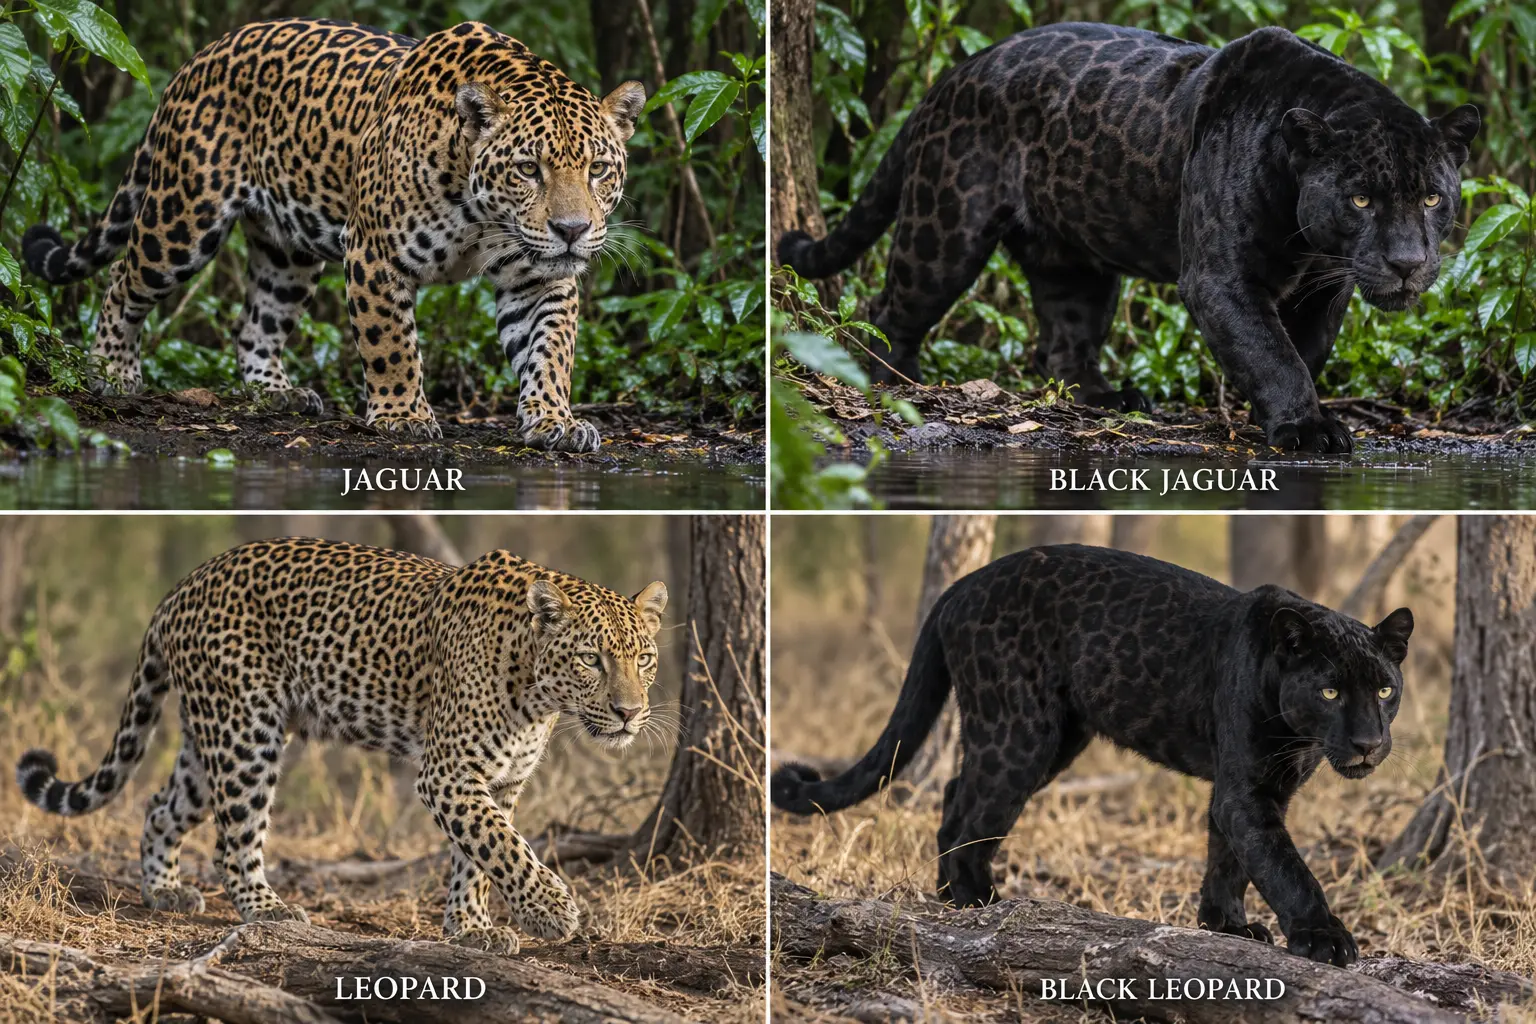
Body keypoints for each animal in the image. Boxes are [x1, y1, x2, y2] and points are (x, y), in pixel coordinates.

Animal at [15, 537, 668, 953]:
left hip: (211, 739)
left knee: (160, 805)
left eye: (643, 658)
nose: (629, 713)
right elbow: (503, 847)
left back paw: (164, 890)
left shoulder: (497, 782)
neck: (536, 693)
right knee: (233, 840)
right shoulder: (449, 774)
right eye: (591, 659)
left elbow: (478, 857)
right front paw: (552, 912)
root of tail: (183, 586)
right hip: (245, 730)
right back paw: (267, 909)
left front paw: (471, 928)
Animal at [22, 18, 647, 453]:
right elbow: (390, 344)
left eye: (597, 168)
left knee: (256, 323)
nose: (572, 230)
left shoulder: (539, 278)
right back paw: (111, 371)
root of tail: (201, 57)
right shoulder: (374, 253)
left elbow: (551, 351)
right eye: (527, 169)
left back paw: (275, 391)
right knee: (123, 279)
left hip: (288, 252)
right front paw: (401, 417)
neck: (482, 214)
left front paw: (554, 420)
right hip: (182, 218)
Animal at [771, 544, 1414, 967]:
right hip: (1021, 732)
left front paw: (1226, 927)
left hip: (1054, 738)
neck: (1301, 733)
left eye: (1385, 690)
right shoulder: (1248, 790)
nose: (1368, 744)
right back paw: (978, 903)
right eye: (1330, 691)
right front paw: (1323, 938)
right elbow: (1284, 866)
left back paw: (956, 898)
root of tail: (959, 588)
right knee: (971, 808)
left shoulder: (1247, 789)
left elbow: (1227, 858)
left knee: (958, 793)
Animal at [778, 22, 1479, 453]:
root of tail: (954, 73)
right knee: (891, 309)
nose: (1407, 263)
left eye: (1431, 198)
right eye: (1361, 199)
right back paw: (896, 383)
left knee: (1064, 341)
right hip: (945, 231)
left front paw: (1286, 419)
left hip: (1076, 263)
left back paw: (1106, 399)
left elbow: (1301, 352)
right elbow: (1272, 353)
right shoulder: (1220, 278)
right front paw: (1305, 428)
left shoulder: (1323, 290)